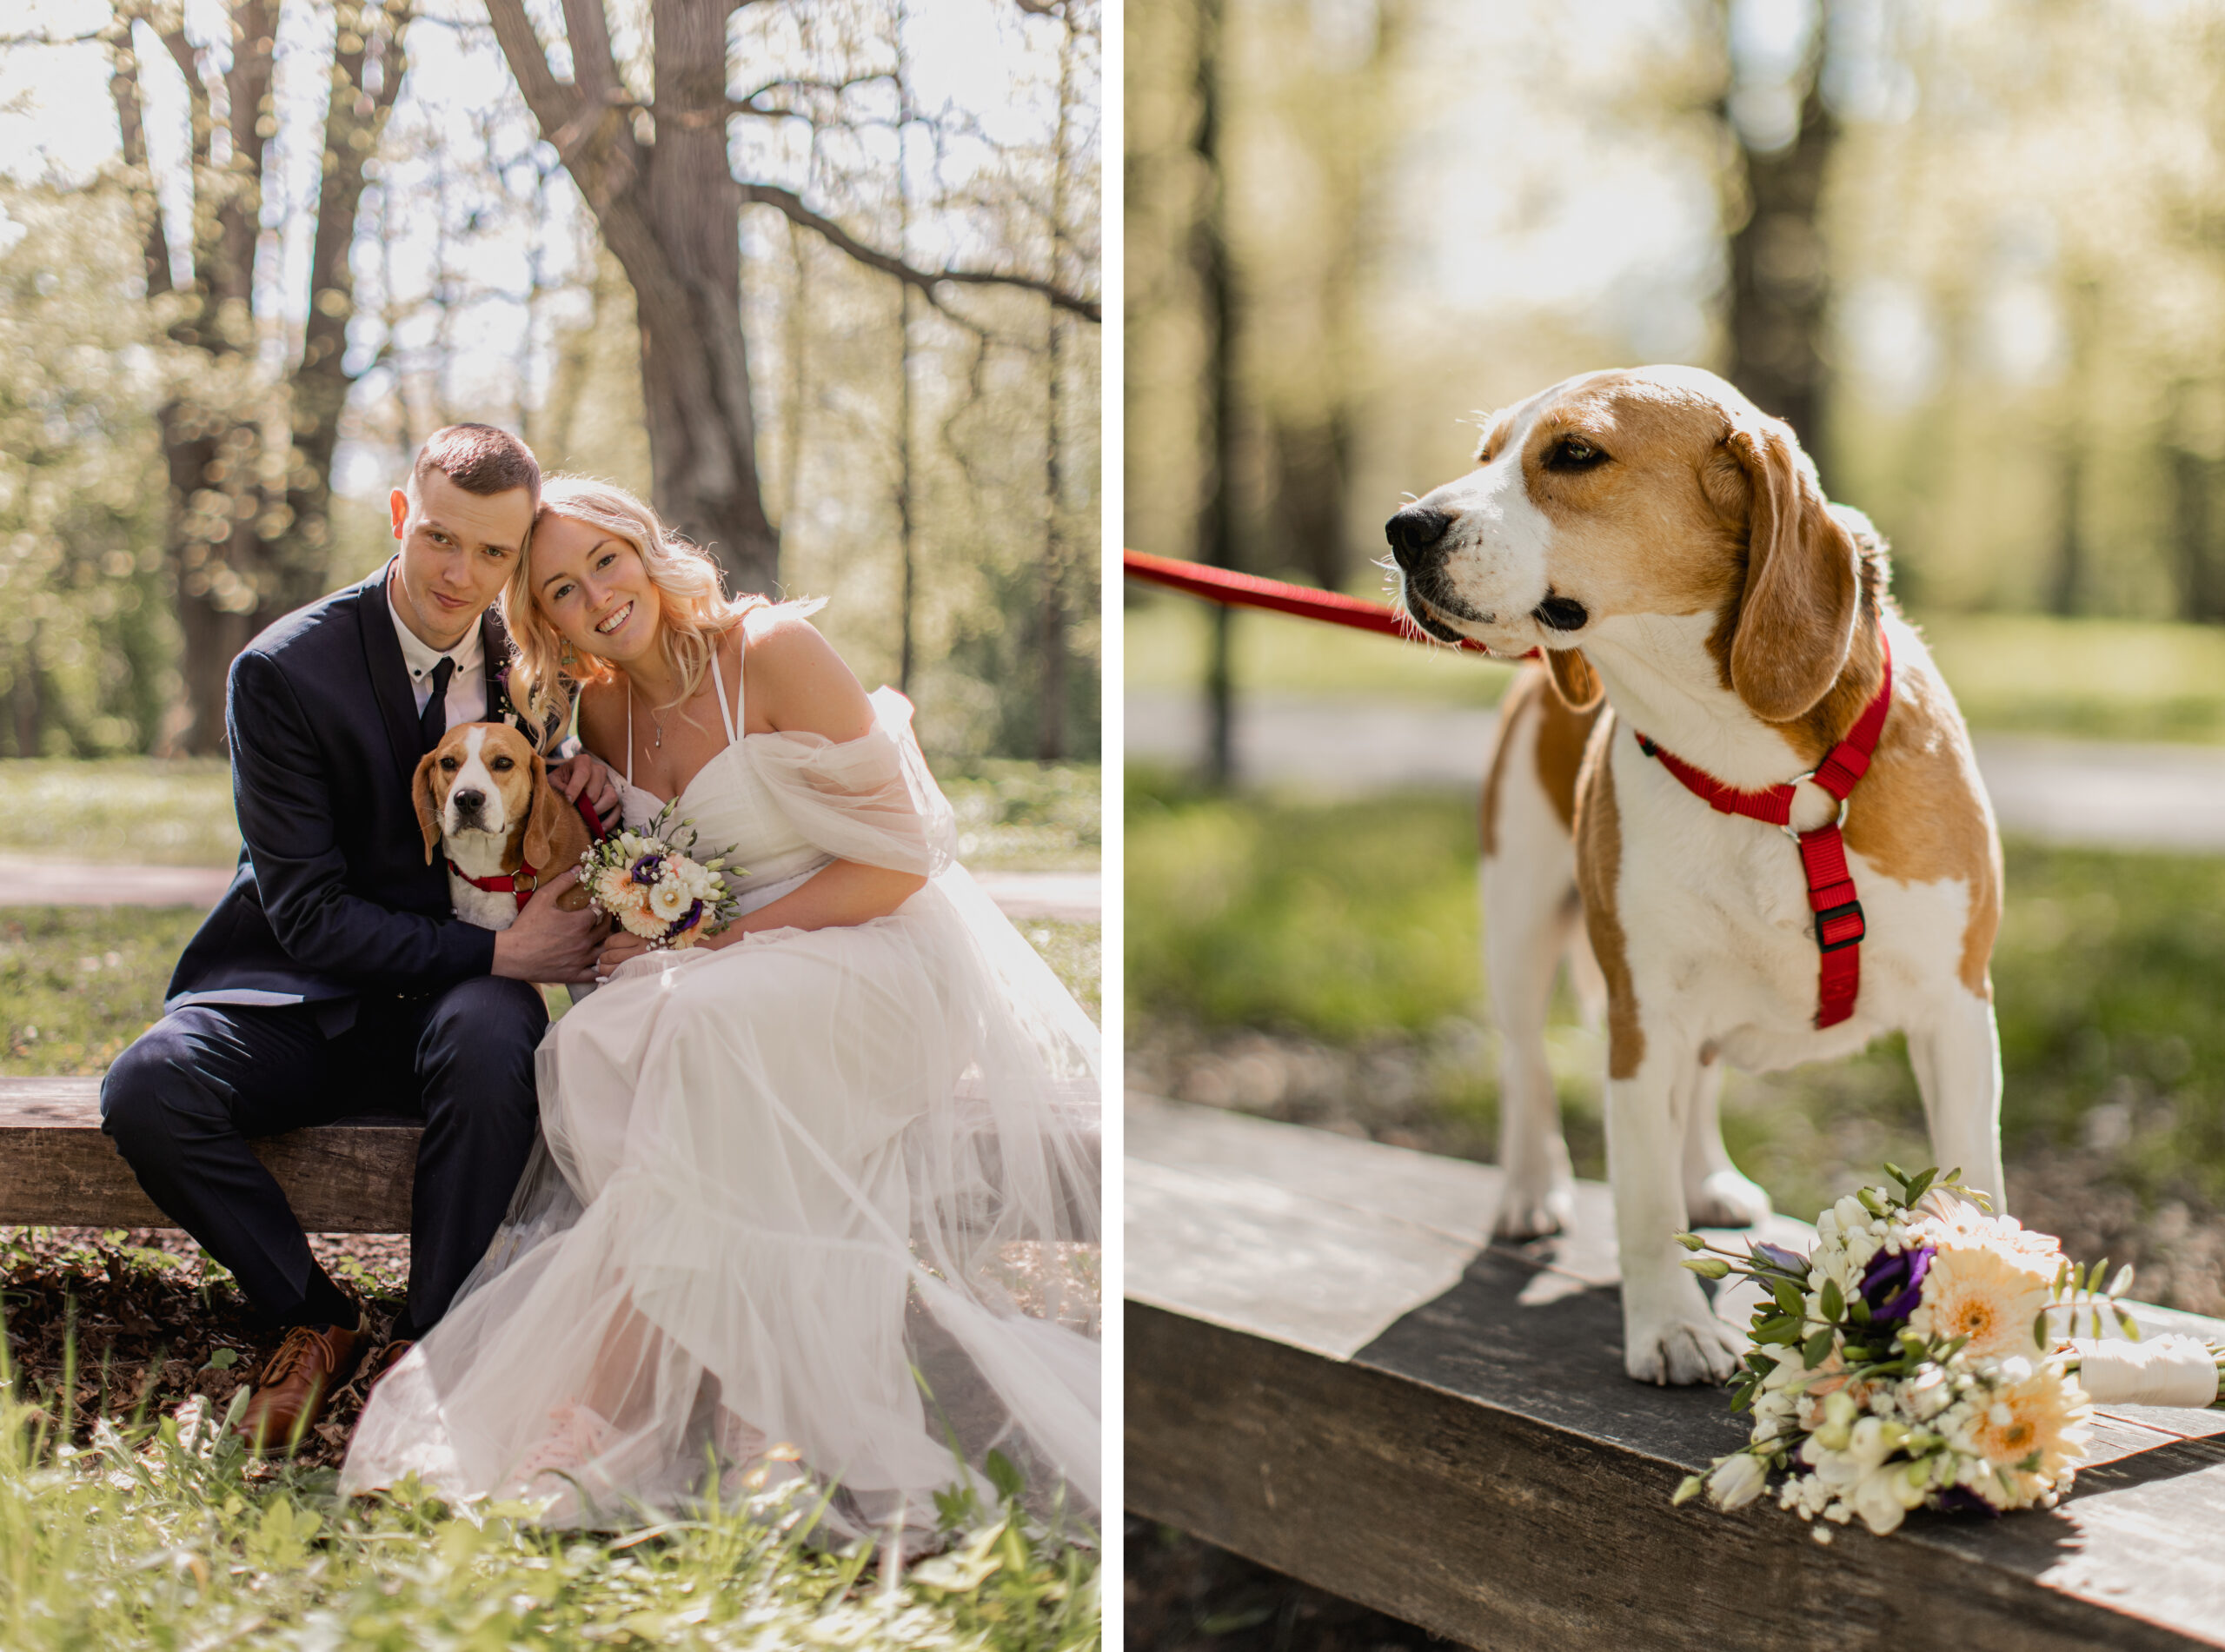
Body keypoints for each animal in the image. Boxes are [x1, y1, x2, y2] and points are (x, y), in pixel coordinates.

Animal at [1388, 368, 2002, 1387]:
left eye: (1574, 454)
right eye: (1485, 455)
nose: (1403, 526)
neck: (1757, 772)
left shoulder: (1955, 1009)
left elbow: (1975, 1177)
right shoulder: (1641, 1019)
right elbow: (1641, 1199)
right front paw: (1670, 1324)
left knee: (1698, 1085)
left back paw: (1705, 1175)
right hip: (1519, 924)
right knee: (1524, 1063)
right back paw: (1530, 1187)